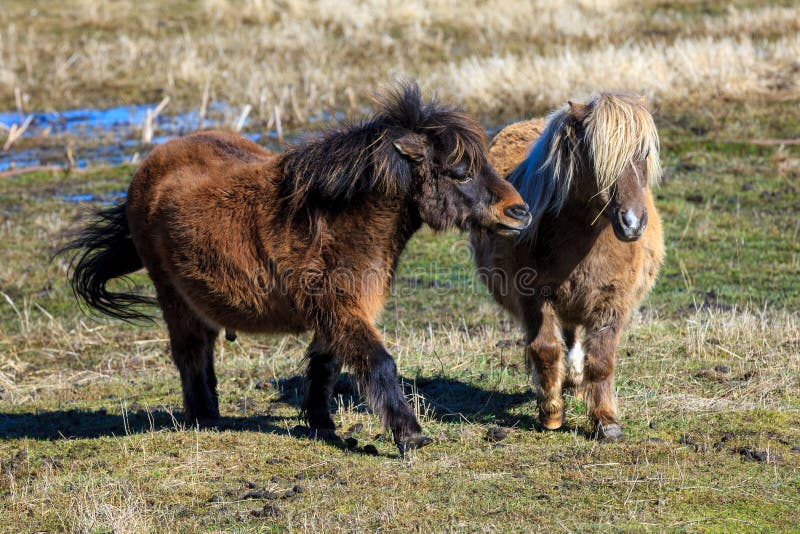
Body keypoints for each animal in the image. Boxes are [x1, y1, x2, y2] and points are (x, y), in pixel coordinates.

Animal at [61, 85, 532, 456]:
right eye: (461, 172)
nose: (520, 212)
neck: (338, 220)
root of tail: (149, 168)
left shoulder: (337, 314)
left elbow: (326, 367)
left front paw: (322, 424)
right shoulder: (340, 309)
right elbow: (378, 362)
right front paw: (410, 435)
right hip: (172, 297)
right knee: (190, 353)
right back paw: (204, 419)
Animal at [472, 94, 664, 442]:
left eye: (643, 154)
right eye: (597, 159)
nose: (632, 223)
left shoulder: (612, 301)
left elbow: (600, 361)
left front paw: (606, 422)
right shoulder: (534, 297)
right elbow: (546, 349)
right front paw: (551, 413)